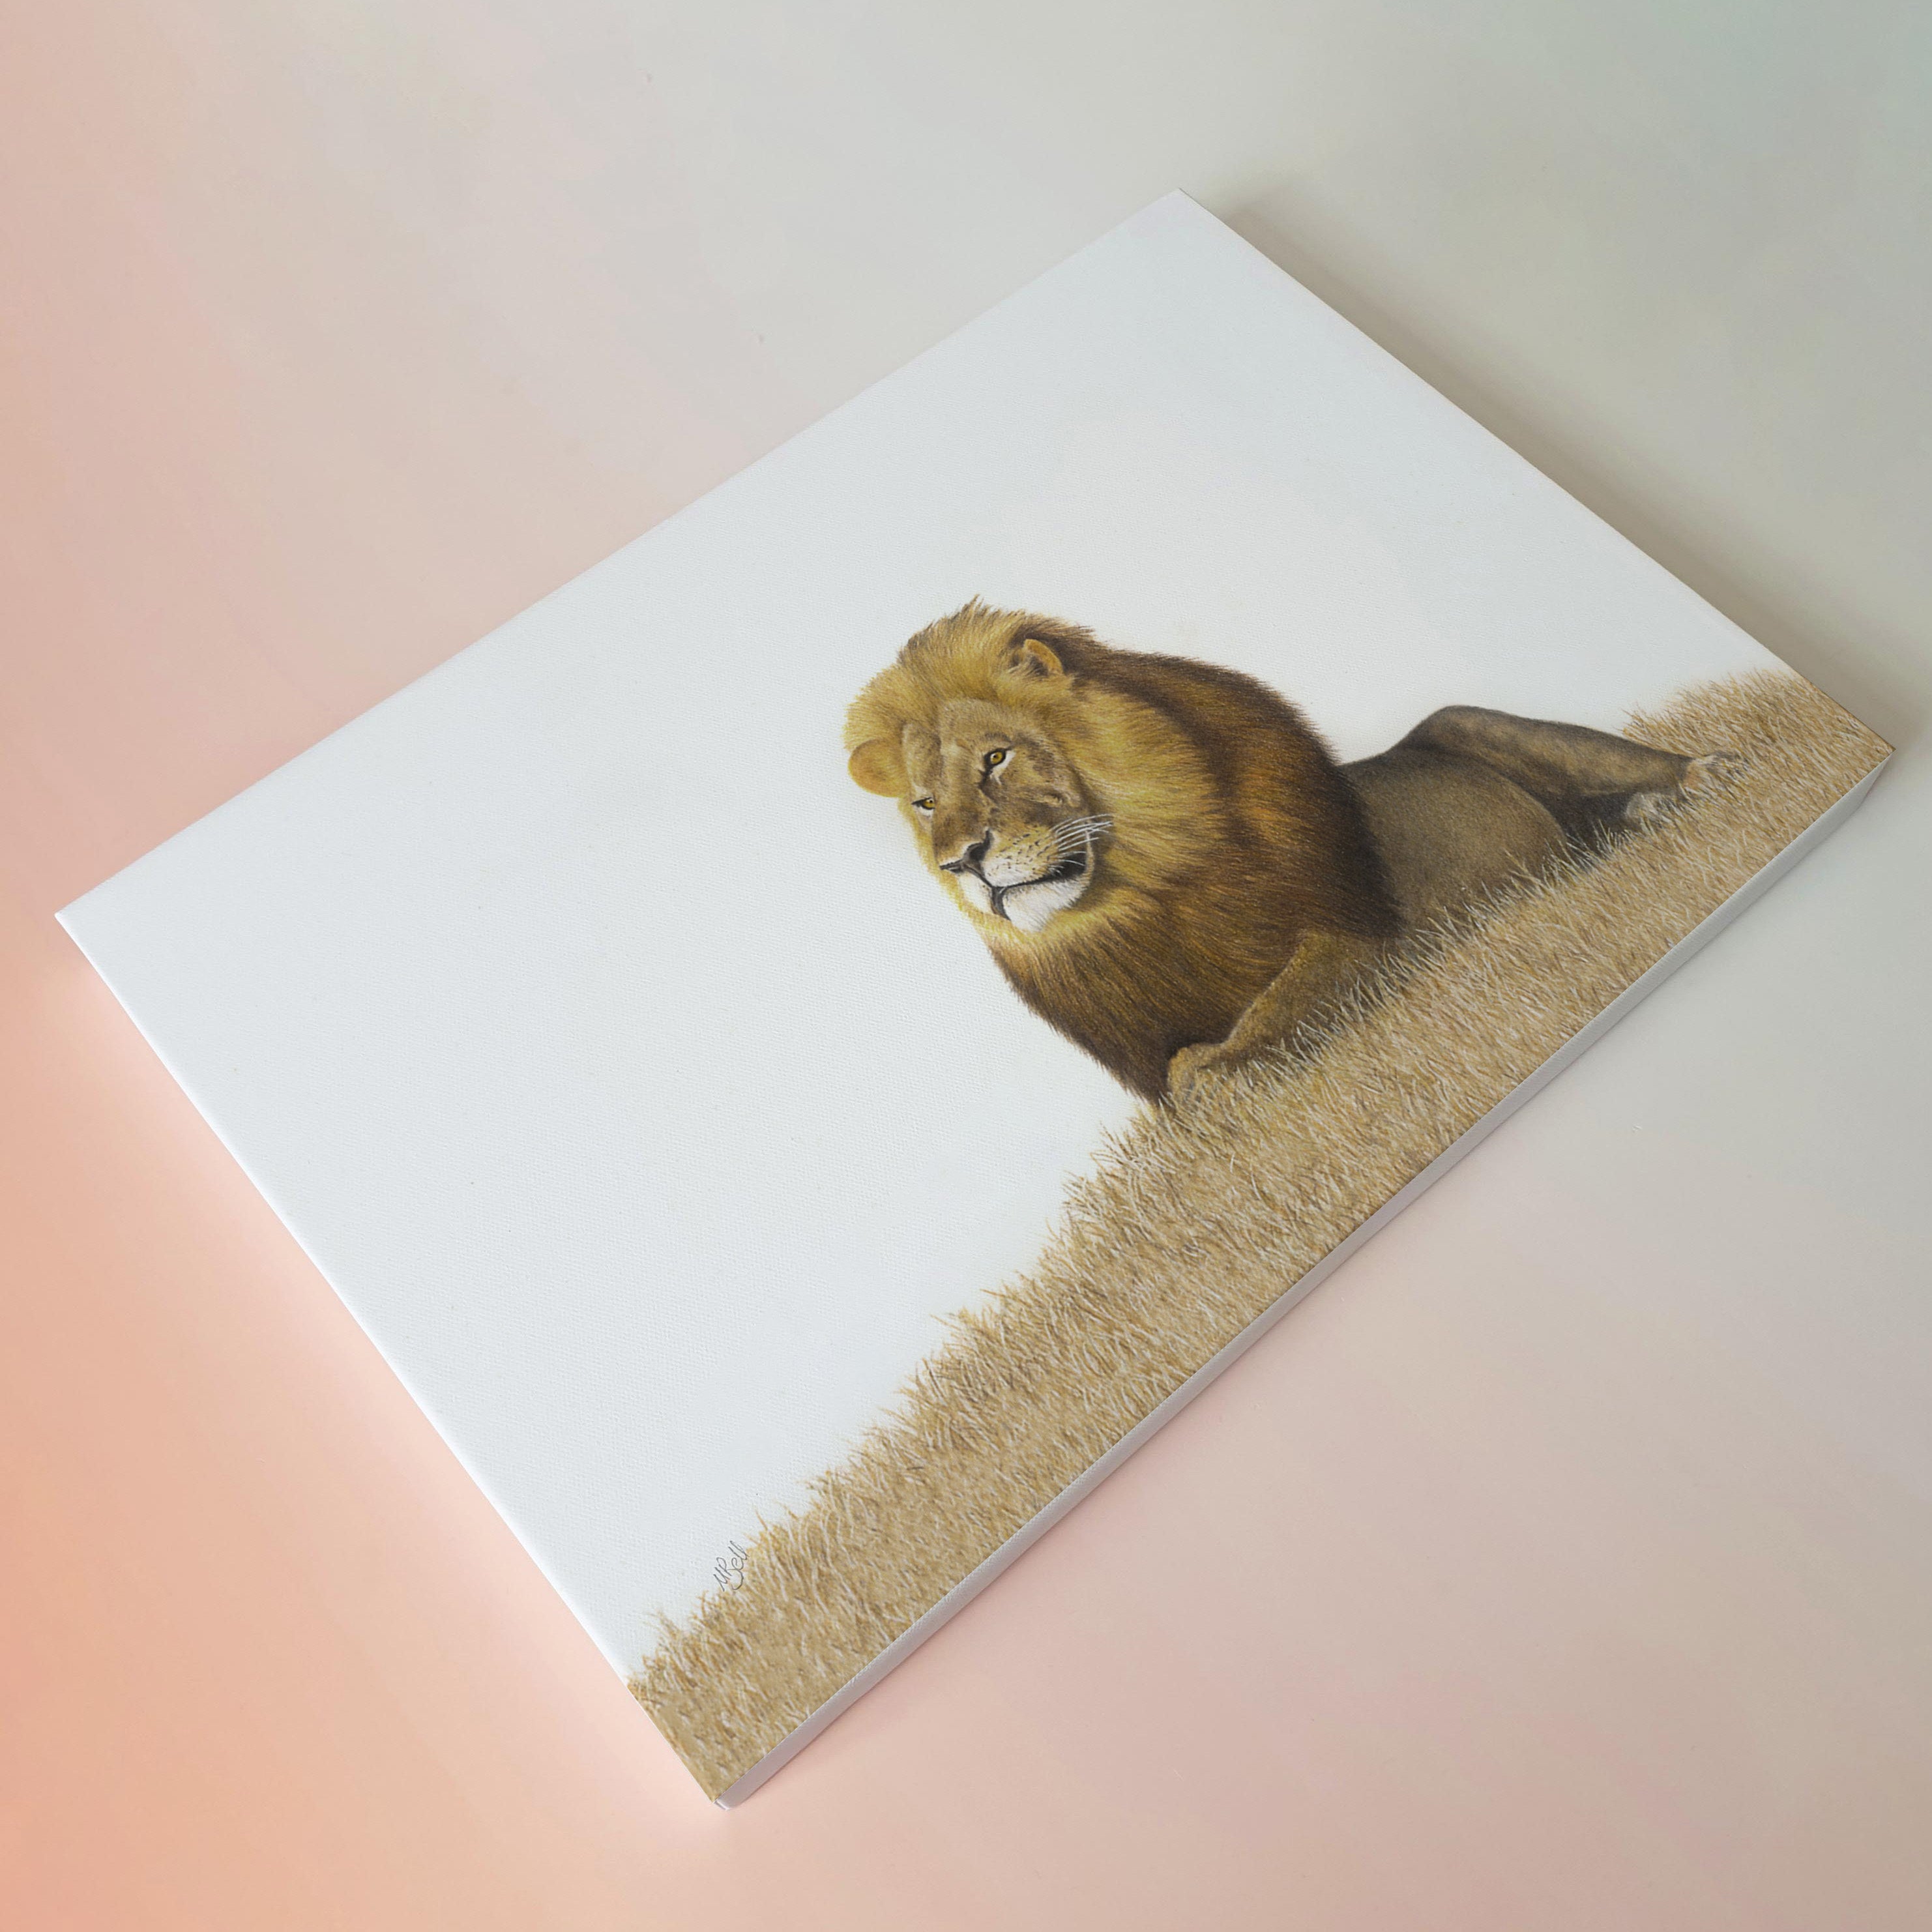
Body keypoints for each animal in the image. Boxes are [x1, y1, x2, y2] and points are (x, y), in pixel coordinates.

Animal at [845, 602, 1732, 1101]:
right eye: (925, 803)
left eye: (995, 758)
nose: (962, 861)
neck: (1142, 900)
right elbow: (1175, 1072)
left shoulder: (1374, 937)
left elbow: (1258, 1023)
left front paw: (1224, 1077)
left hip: (1484, 724)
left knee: (1649, 766)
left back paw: (1695, 781)